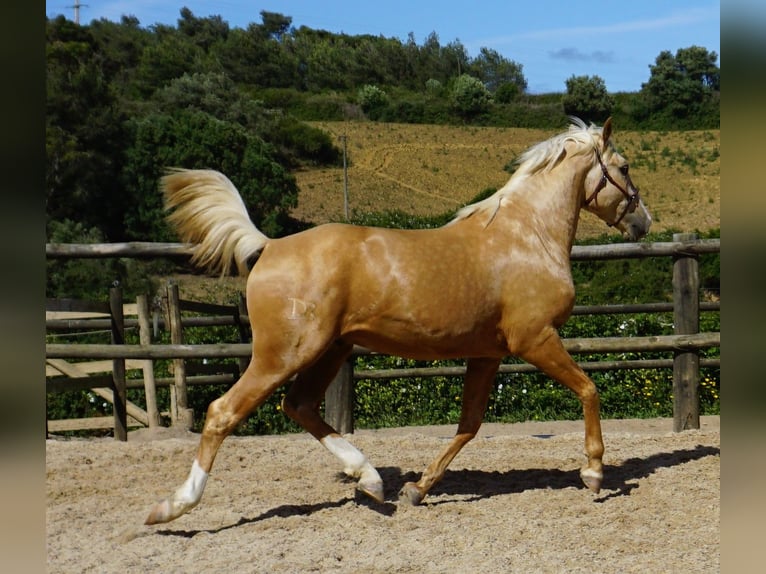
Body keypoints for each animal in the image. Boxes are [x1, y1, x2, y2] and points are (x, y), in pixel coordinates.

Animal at [146, 117, 656, 528]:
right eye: (625, 167)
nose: (644, 223)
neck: (527, 236)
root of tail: (269, 246)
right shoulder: (534, 339)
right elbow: (589, 389)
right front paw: (594, 473)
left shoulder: (487, 353)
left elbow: (469, 424)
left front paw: (418, 488)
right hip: (284, 354)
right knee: (223, 412)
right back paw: (173, 507)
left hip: (331, 349)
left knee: (300, 406)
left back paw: (371, 481)